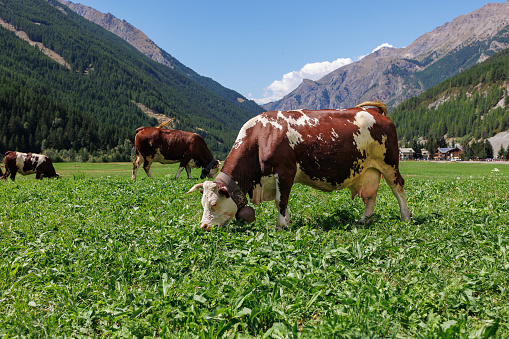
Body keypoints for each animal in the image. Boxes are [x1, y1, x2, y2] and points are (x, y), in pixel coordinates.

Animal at [189, 101, 410, 231]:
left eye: (214, 203)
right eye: (202, 203)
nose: (203, 226)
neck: (261, 136)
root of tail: (373, 110)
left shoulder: (285, 171)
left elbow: (281, 201)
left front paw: (280, 226)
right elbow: (282, 202)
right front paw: (287, 222)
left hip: (389, 163)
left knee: (398, 187)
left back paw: (405, 217)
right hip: (369, 169)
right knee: (371, 194)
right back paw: (365, 219)